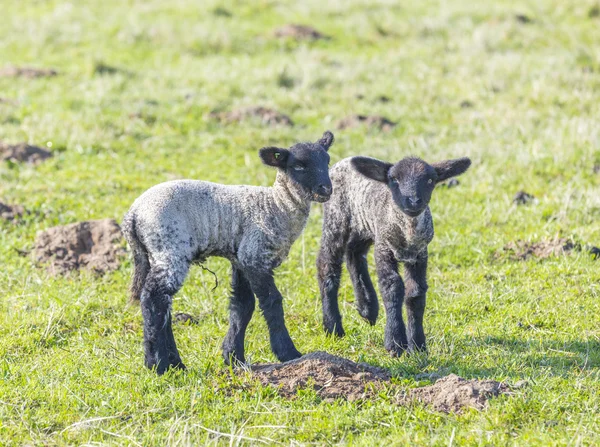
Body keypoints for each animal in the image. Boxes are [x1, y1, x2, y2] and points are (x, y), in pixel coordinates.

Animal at [122, 130, 336, 374]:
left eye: (327, 161)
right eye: (299, 166)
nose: (326, 189)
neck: (276, 205)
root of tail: (133, 215)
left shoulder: (241, 258)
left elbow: (243, 306)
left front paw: (234, 357)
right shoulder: (254, 254)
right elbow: (272, 301)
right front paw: (288, 353)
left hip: (154, 253)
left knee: (162, 302)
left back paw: (175, 363)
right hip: (170, 247)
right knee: (153, 298)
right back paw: (157, 364)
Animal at [316, 157, 472, 356]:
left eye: (430, 180)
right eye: (394, 179)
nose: (413, 201)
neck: (407, 231)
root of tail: (341, 162)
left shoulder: (420, 254)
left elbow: (416, 293)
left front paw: (418, 345)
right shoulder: (383, 248)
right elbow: (392, 286)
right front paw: (395, 343)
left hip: (364, 224)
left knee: (354, 252)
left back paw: (368, 309)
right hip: (336, 217)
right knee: (327, 264)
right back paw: (333, 327)